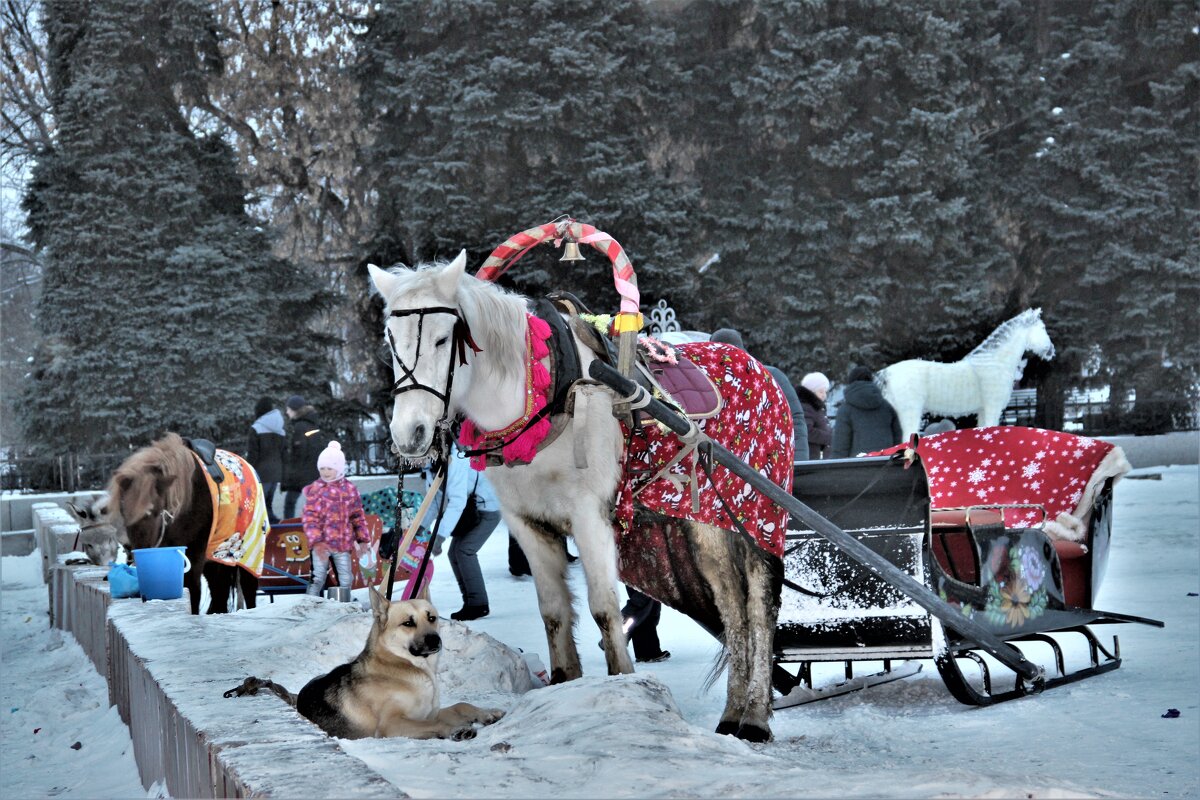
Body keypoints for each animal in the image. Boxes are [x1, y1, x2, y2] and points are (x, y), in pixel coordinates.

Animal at [102, 431, 258, 614]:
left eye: (154, 511)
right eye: (124, 511)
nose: (136, 551)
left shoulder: (195, 552)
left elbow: (192, 588)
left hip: (248, 553)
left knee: (248, 586)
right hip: (216, 555)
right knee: (219, 588)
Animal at [225, 592, 501, 743]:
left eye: (431, 618)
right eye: (408, 623)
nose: (435, 640)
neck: (407, 669)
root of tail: (297, 697)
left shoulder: (428, 712)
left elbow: (460, 705)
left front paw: (486, 713)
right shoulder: (393, 725)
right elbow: (435, 725)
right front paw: (456, 730)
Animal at [369, 251, 792, 743]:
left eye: (442, 339)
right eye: (391, 341)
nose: (410, 434)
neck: (547, 396)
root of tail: (758, 368)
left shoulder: (590, 516)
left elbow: (604, 608)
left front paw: (625, 684)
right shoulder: (526, 523)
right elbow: (553, 611)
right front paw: (564, 682)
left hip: (752, 516)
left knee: (758, 608)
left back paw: (755, 717)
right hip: (701, 526)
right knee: (732, 610)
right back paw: (733, 714)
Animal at [878, 309, 1056, 441]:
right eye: (1042, 328)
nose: (1051, 351)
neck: (995, 361)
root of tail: (888, 372)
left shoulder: (983, 410)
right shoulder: (992, 407)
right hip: (911, 412)